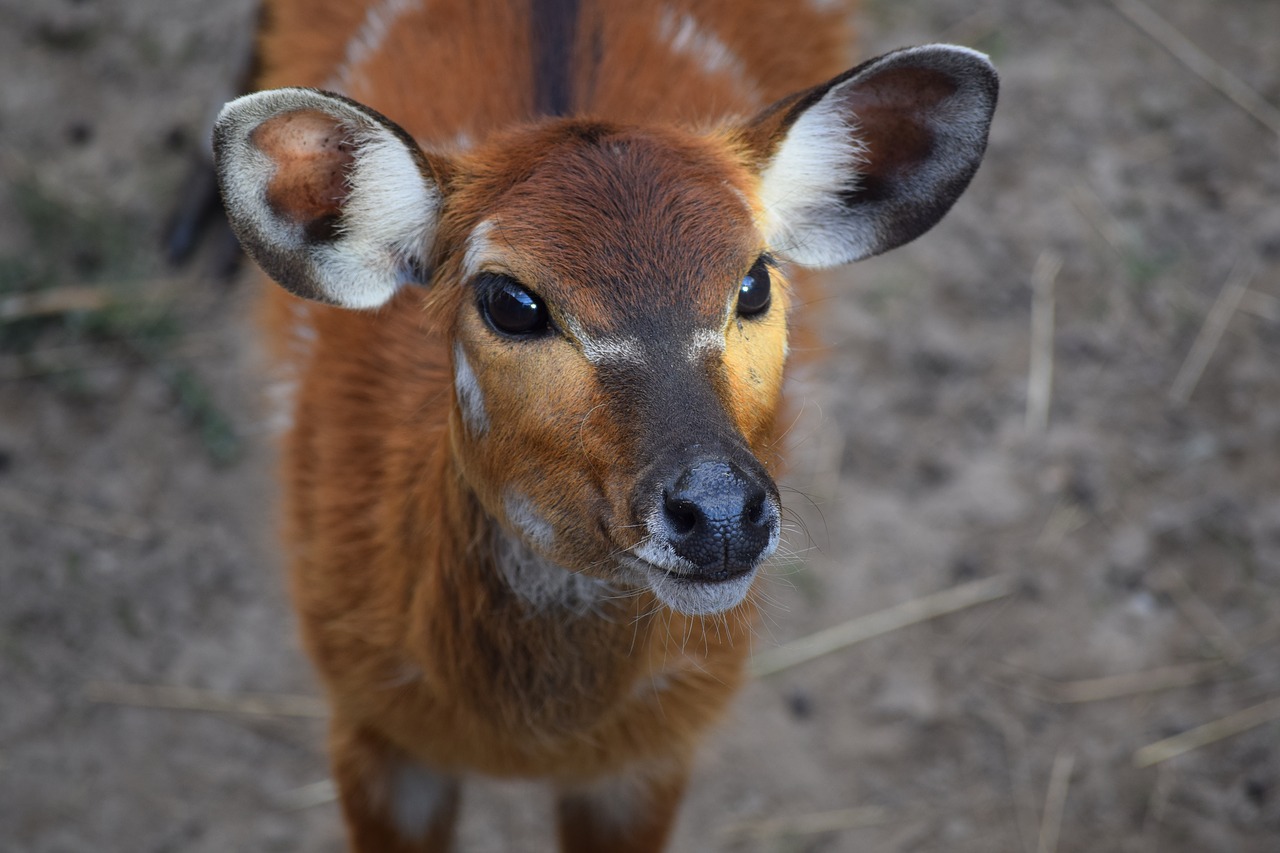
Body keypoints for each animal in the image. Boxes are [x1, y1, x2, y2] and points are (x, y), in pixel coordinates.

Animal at [212, 1, 998, 850]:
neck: (531, 736)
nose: (720, 512)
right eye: (510, 301)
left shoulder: (648, 755)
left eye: (754, 280)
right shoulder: (371, 721)